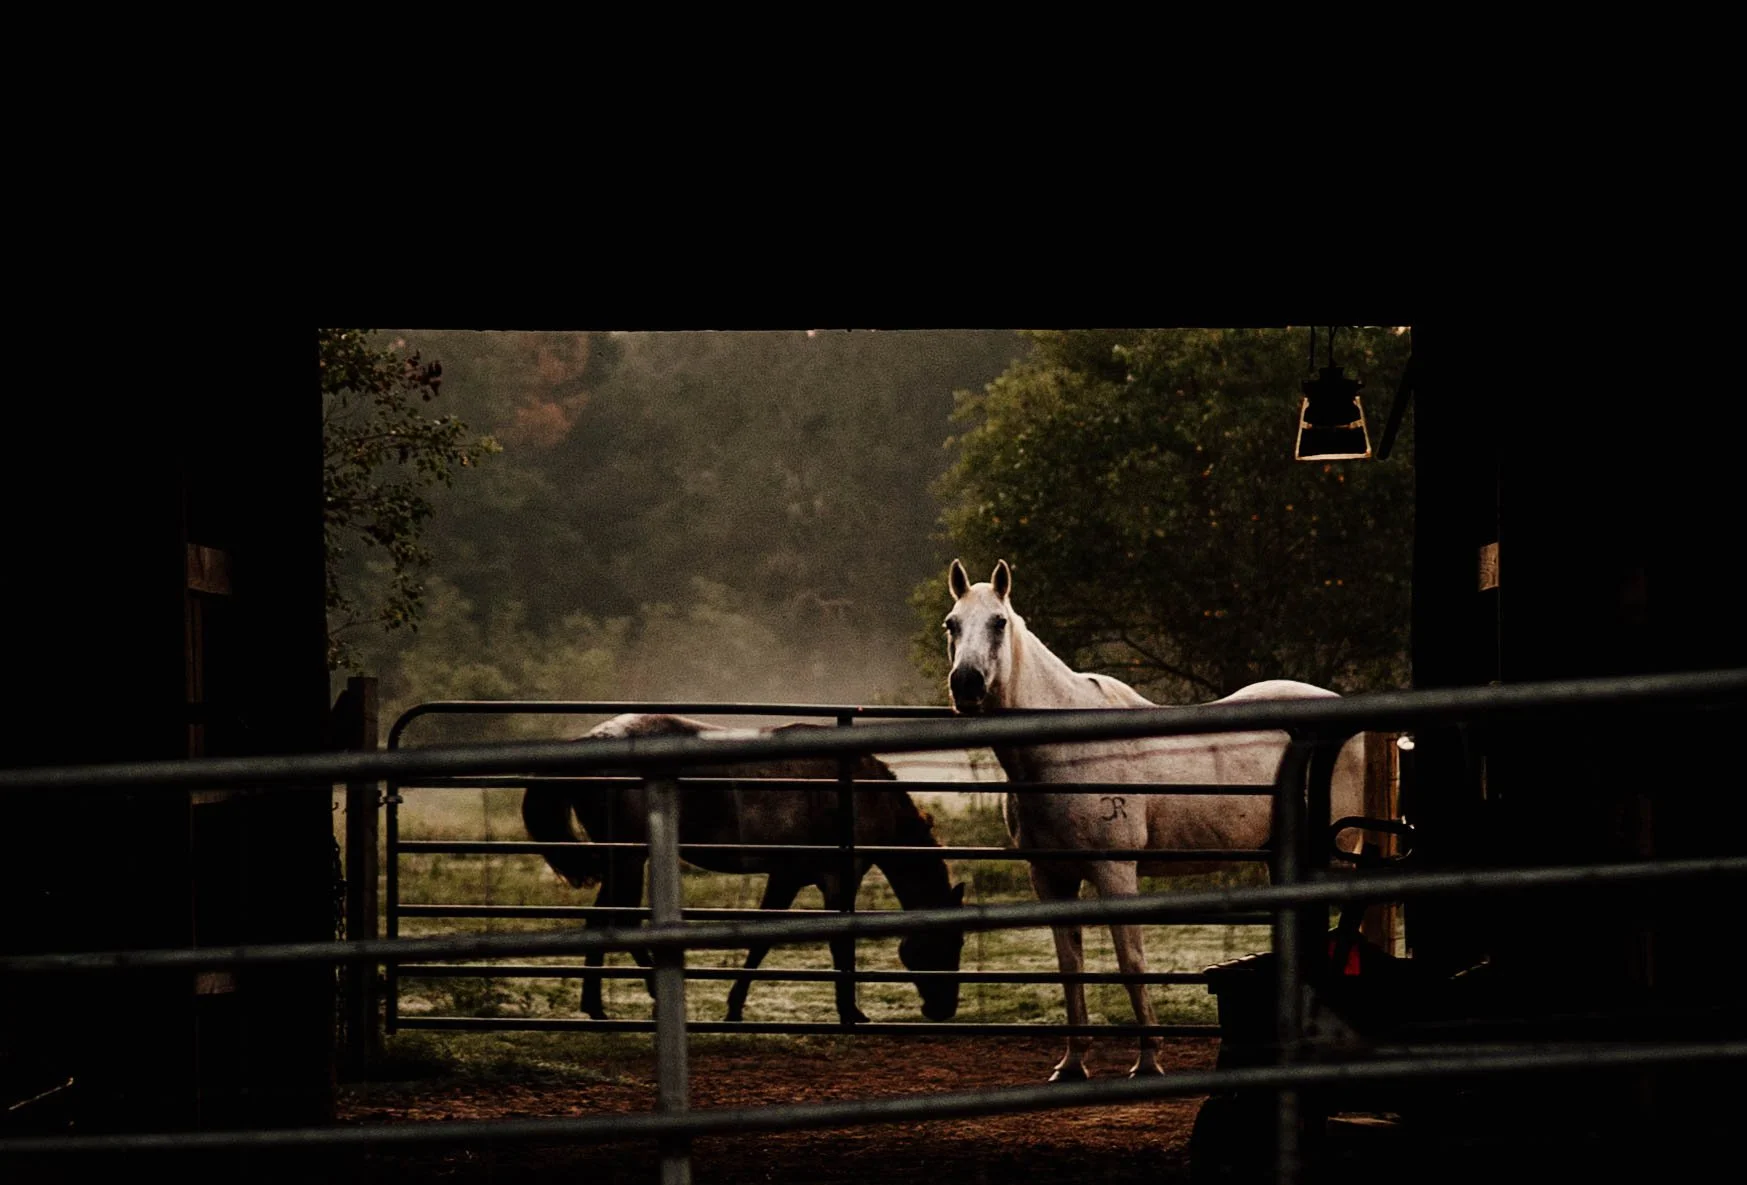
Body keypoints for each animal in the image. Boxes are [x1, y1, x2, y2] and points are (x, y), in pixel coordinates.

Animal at [521, 713, 967, 1024]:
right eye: (950, 943)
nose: (943, 1009)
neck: (858, 796)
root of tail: (590, 743)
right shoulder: (834, 879)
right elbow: (834, 943)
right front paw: (850, 1012)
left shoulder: (790, 877)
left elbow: (763, 939)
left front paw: (735, 1006)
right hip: (630, 859)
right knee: (625, 921)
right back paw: (652, 992)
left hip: (621, 861)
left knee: (601, 919)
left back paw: (595, 1006)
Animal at [942, 559, 1367, 1081]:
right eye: (952, 624)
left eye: (999, 622)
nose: (966, 684)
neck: (1065, 749)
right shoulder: (1051, 878)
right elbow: (1070, 968)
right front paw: (1073, 1062)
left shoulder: (1115, 873)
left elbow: (1131, 963)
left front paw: (1148, 1060)